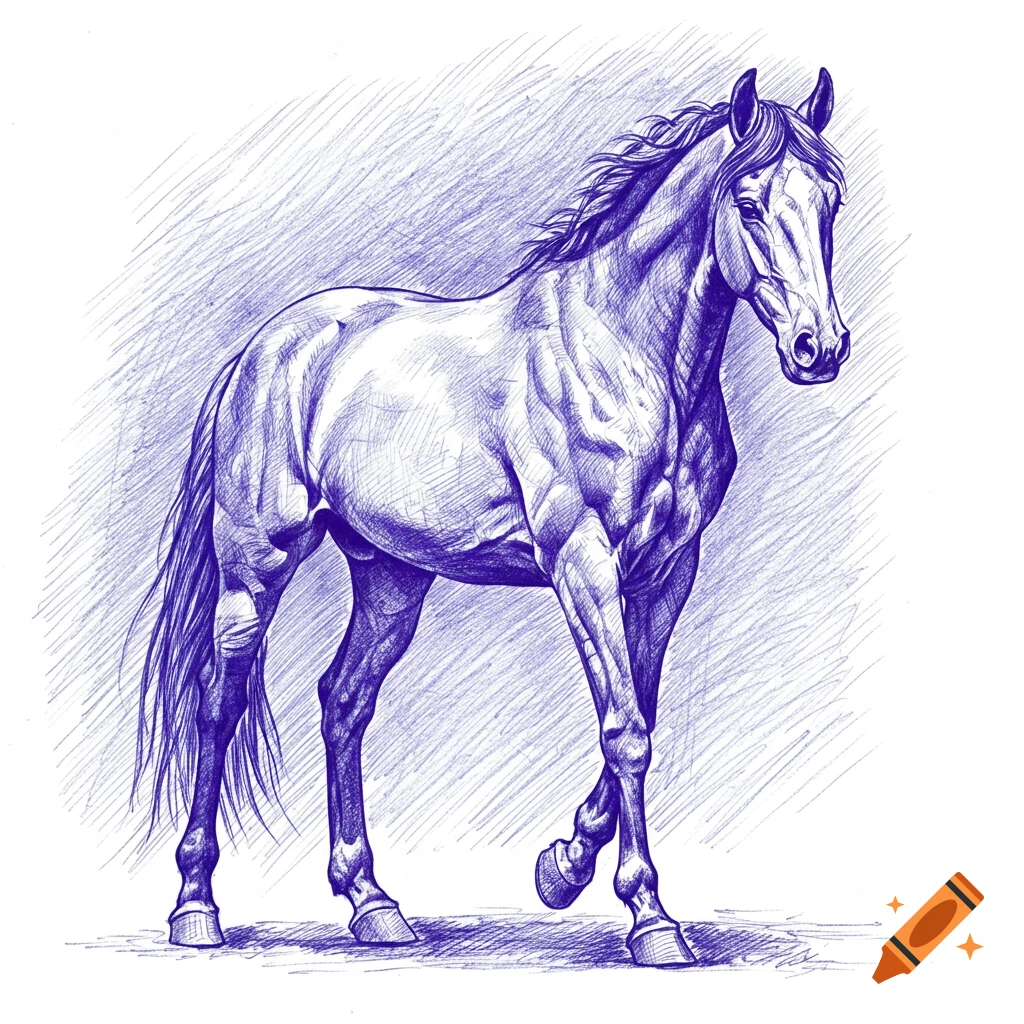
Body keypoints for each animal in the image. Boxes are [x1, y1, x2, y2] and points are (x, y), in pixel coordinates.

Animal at [133, 66, 850, 967]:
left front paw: (564, 867)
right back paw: (196, 907)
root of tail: (265, 348)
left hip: (391, 576)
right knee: (218, 703)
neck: (623, 353)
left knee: (344, 699)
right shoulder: (582, 563)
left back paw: (372, 904)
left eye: (831, 200)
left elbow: (638, 715)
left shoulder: (667, 572)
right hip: (255, 568)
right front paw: (650, 917)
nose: (820, 348)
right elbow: (626, 730)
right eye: (749, 202)